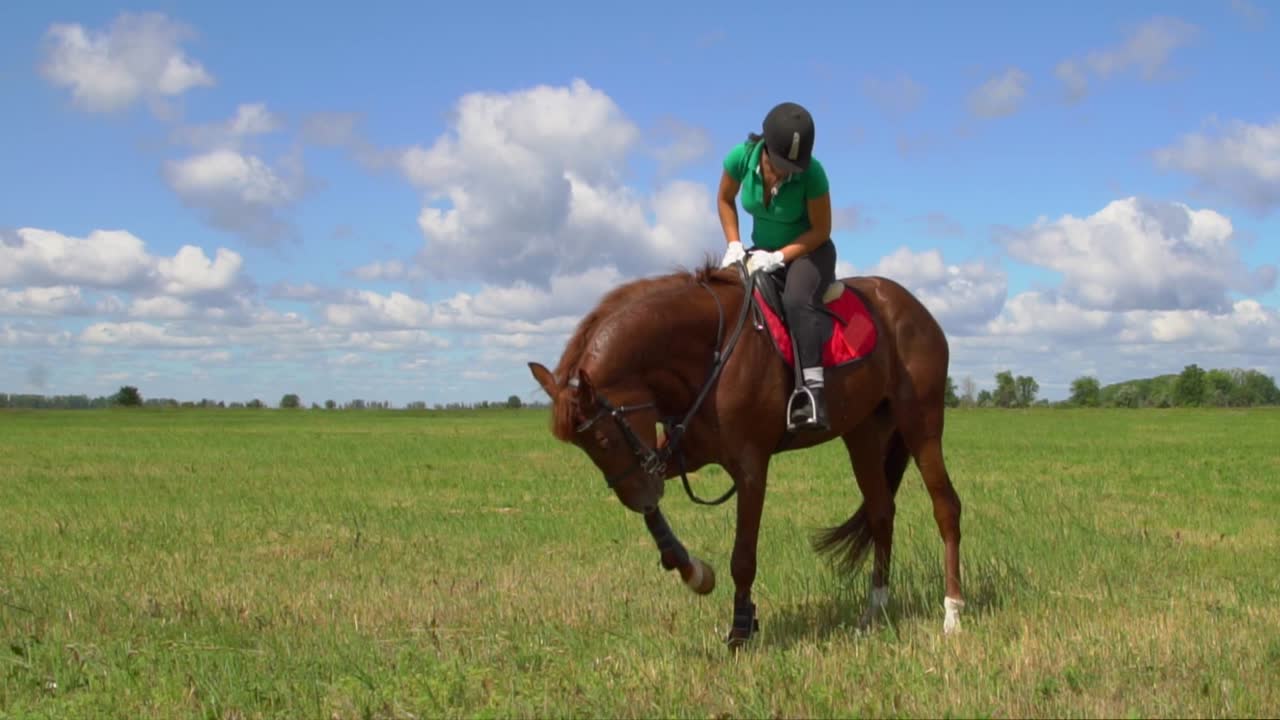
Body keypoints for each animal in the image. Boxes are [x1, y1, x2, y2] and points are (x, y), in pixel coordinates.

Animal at [527, 258, 964, 648]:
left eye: (603, 440)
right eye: (585, 448)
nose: (640, 498)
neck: (710, 350)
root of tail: (912, 306)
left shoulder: (750, 466)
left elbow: (743, 555)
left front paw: (740, 628)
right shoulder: (675, 455)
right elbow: (658, 521)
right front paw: (695, 573)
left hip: (920, 423)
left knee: (945, 507)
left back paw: (952, 613)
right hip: (863, 435)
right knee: (881, 513)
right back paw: (874, 612)